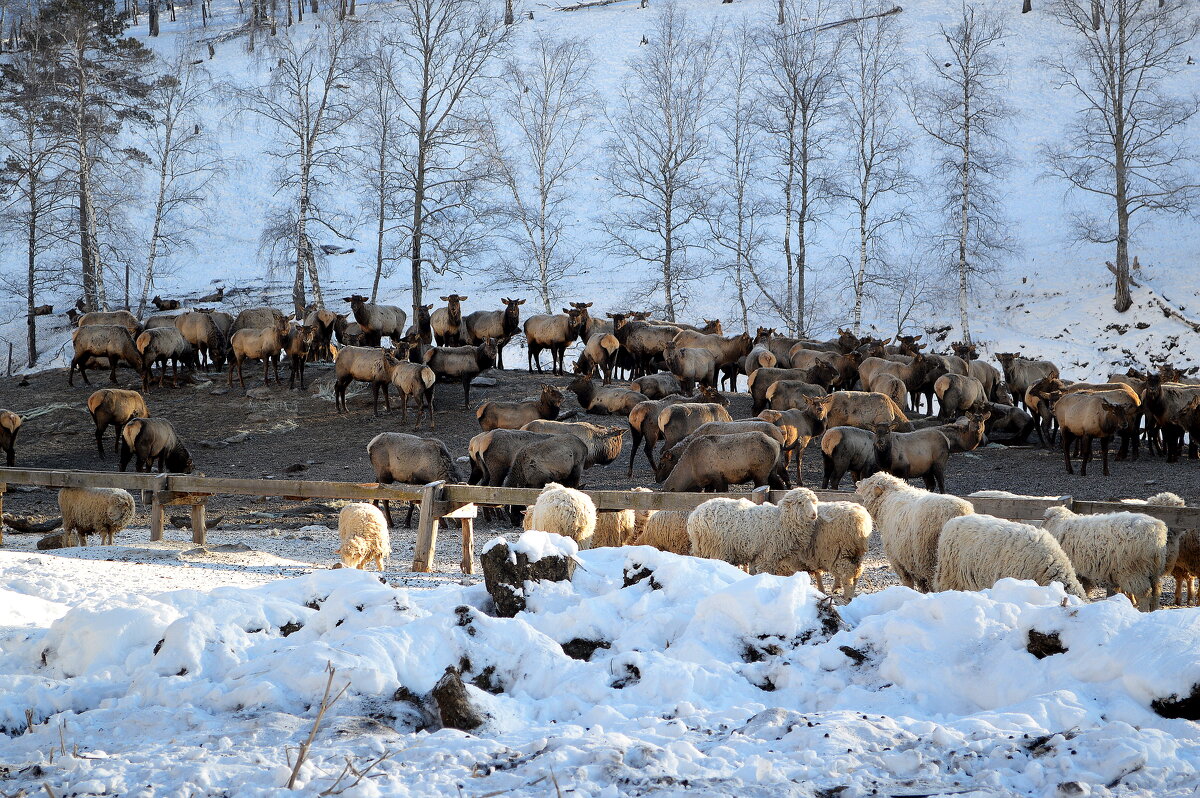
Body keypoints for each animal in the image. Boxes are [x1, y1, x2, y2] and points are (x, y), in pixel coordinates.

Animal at [657, 429, 787, 492]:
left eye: (662, 464)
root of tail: (777, 443)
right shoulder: (709, 483)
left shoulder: (718, 477)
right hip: (772, 471)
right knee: (780, 485)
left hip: (760, 473)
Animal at [691, 484, 820, 573]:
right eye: (800, 503)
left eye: (814, 502)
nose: (814, 514)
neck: (781, 520)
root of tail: (694, 516)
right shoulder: (767, 555)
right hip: (718, 548)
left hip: (702, 549)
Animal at [1041, 504, 1171, 609]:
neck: (1058, 523)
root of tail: (1157, 533)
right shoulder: (1082, 572)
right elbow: (1085, 587)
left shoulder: (1076, 569)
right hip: (1154, 571)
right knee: (1156, 591)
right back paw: (1154, 610)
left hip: (1133, 571)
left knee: (1145, 593)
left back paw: (1143, 610)